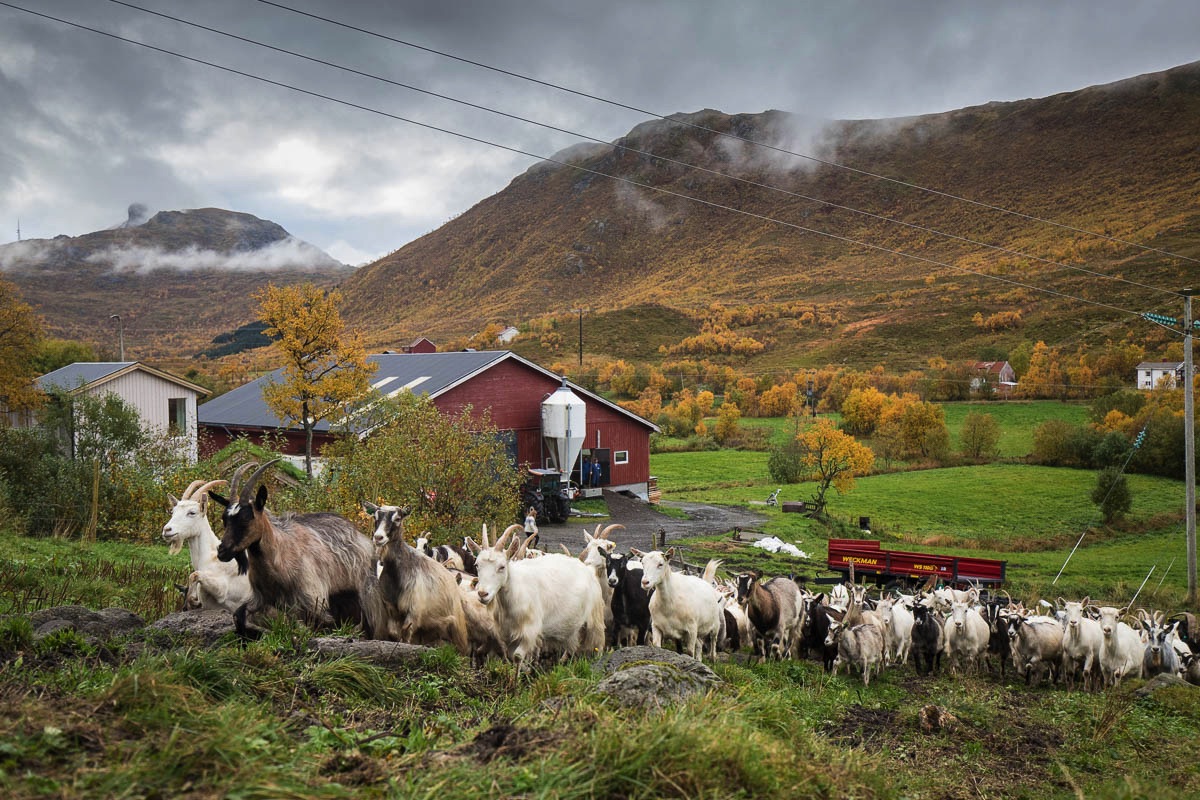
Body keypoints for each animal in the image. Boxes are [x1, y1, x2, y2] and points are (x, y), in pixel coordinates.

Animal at [162, 482, 250, 614]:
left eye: (192, 512)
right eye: (173, 512)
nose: (167, 530)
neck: (211, 557)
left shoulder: (225, 592)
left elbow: (194, 575)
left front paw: (193, 601)